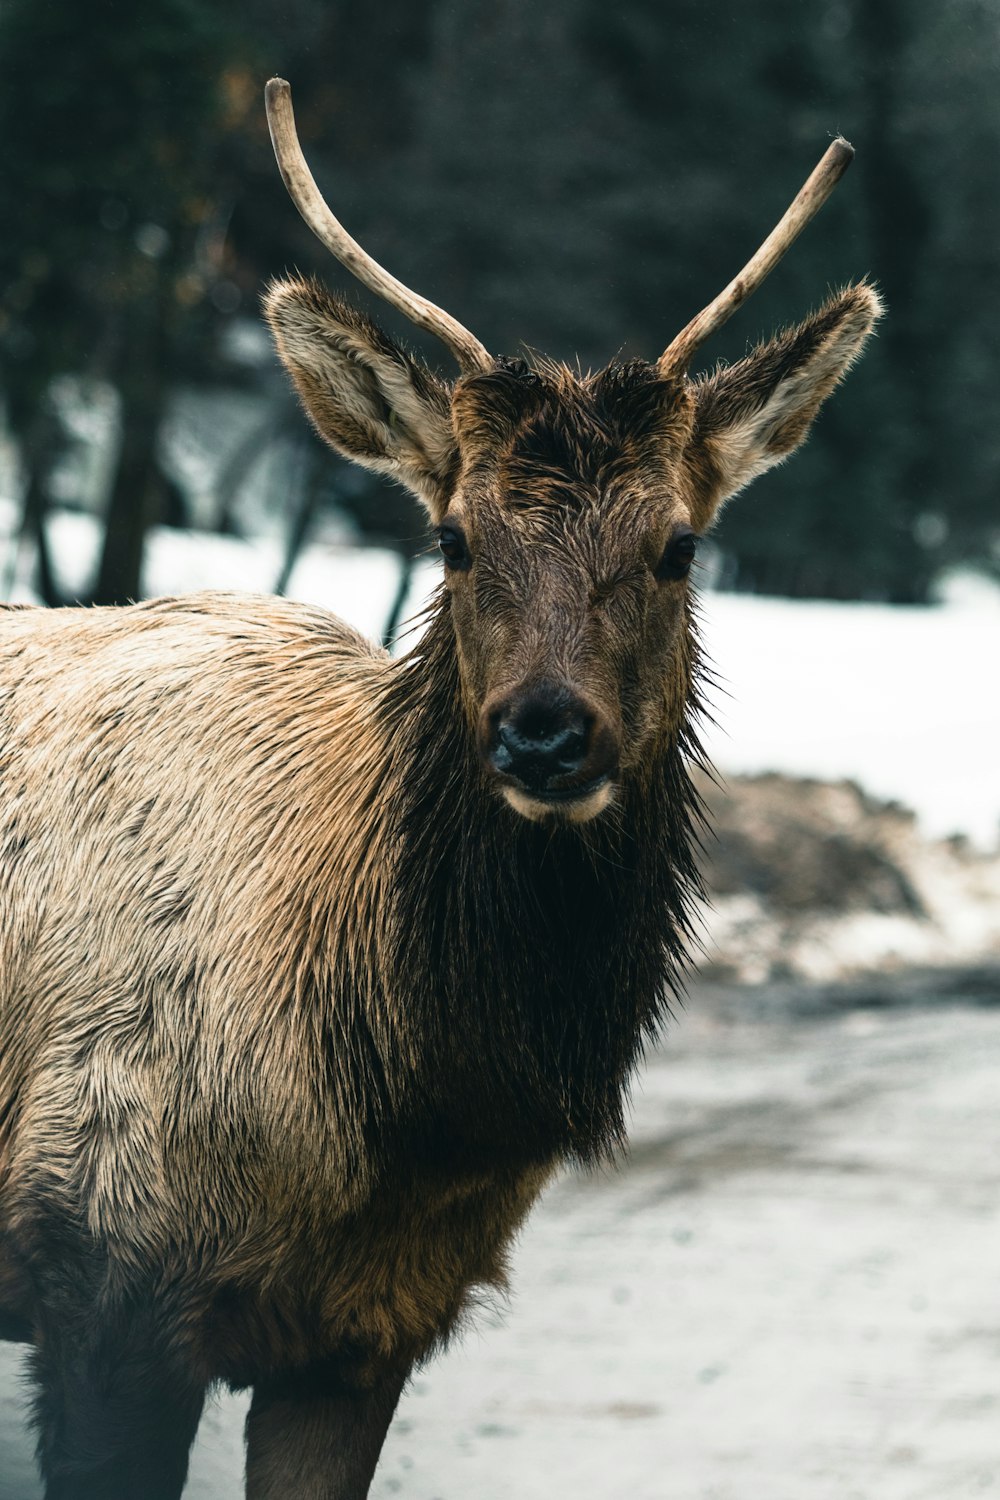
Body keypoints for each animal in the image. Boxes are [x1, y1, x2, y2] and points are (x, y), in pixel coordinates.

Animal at [0, 82, 875, 1500]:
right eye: (454, 537)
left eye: (679, 544)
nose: (545, 735)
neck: (410, 1113)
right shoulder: (101, 1275)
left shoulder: (369, 1330)